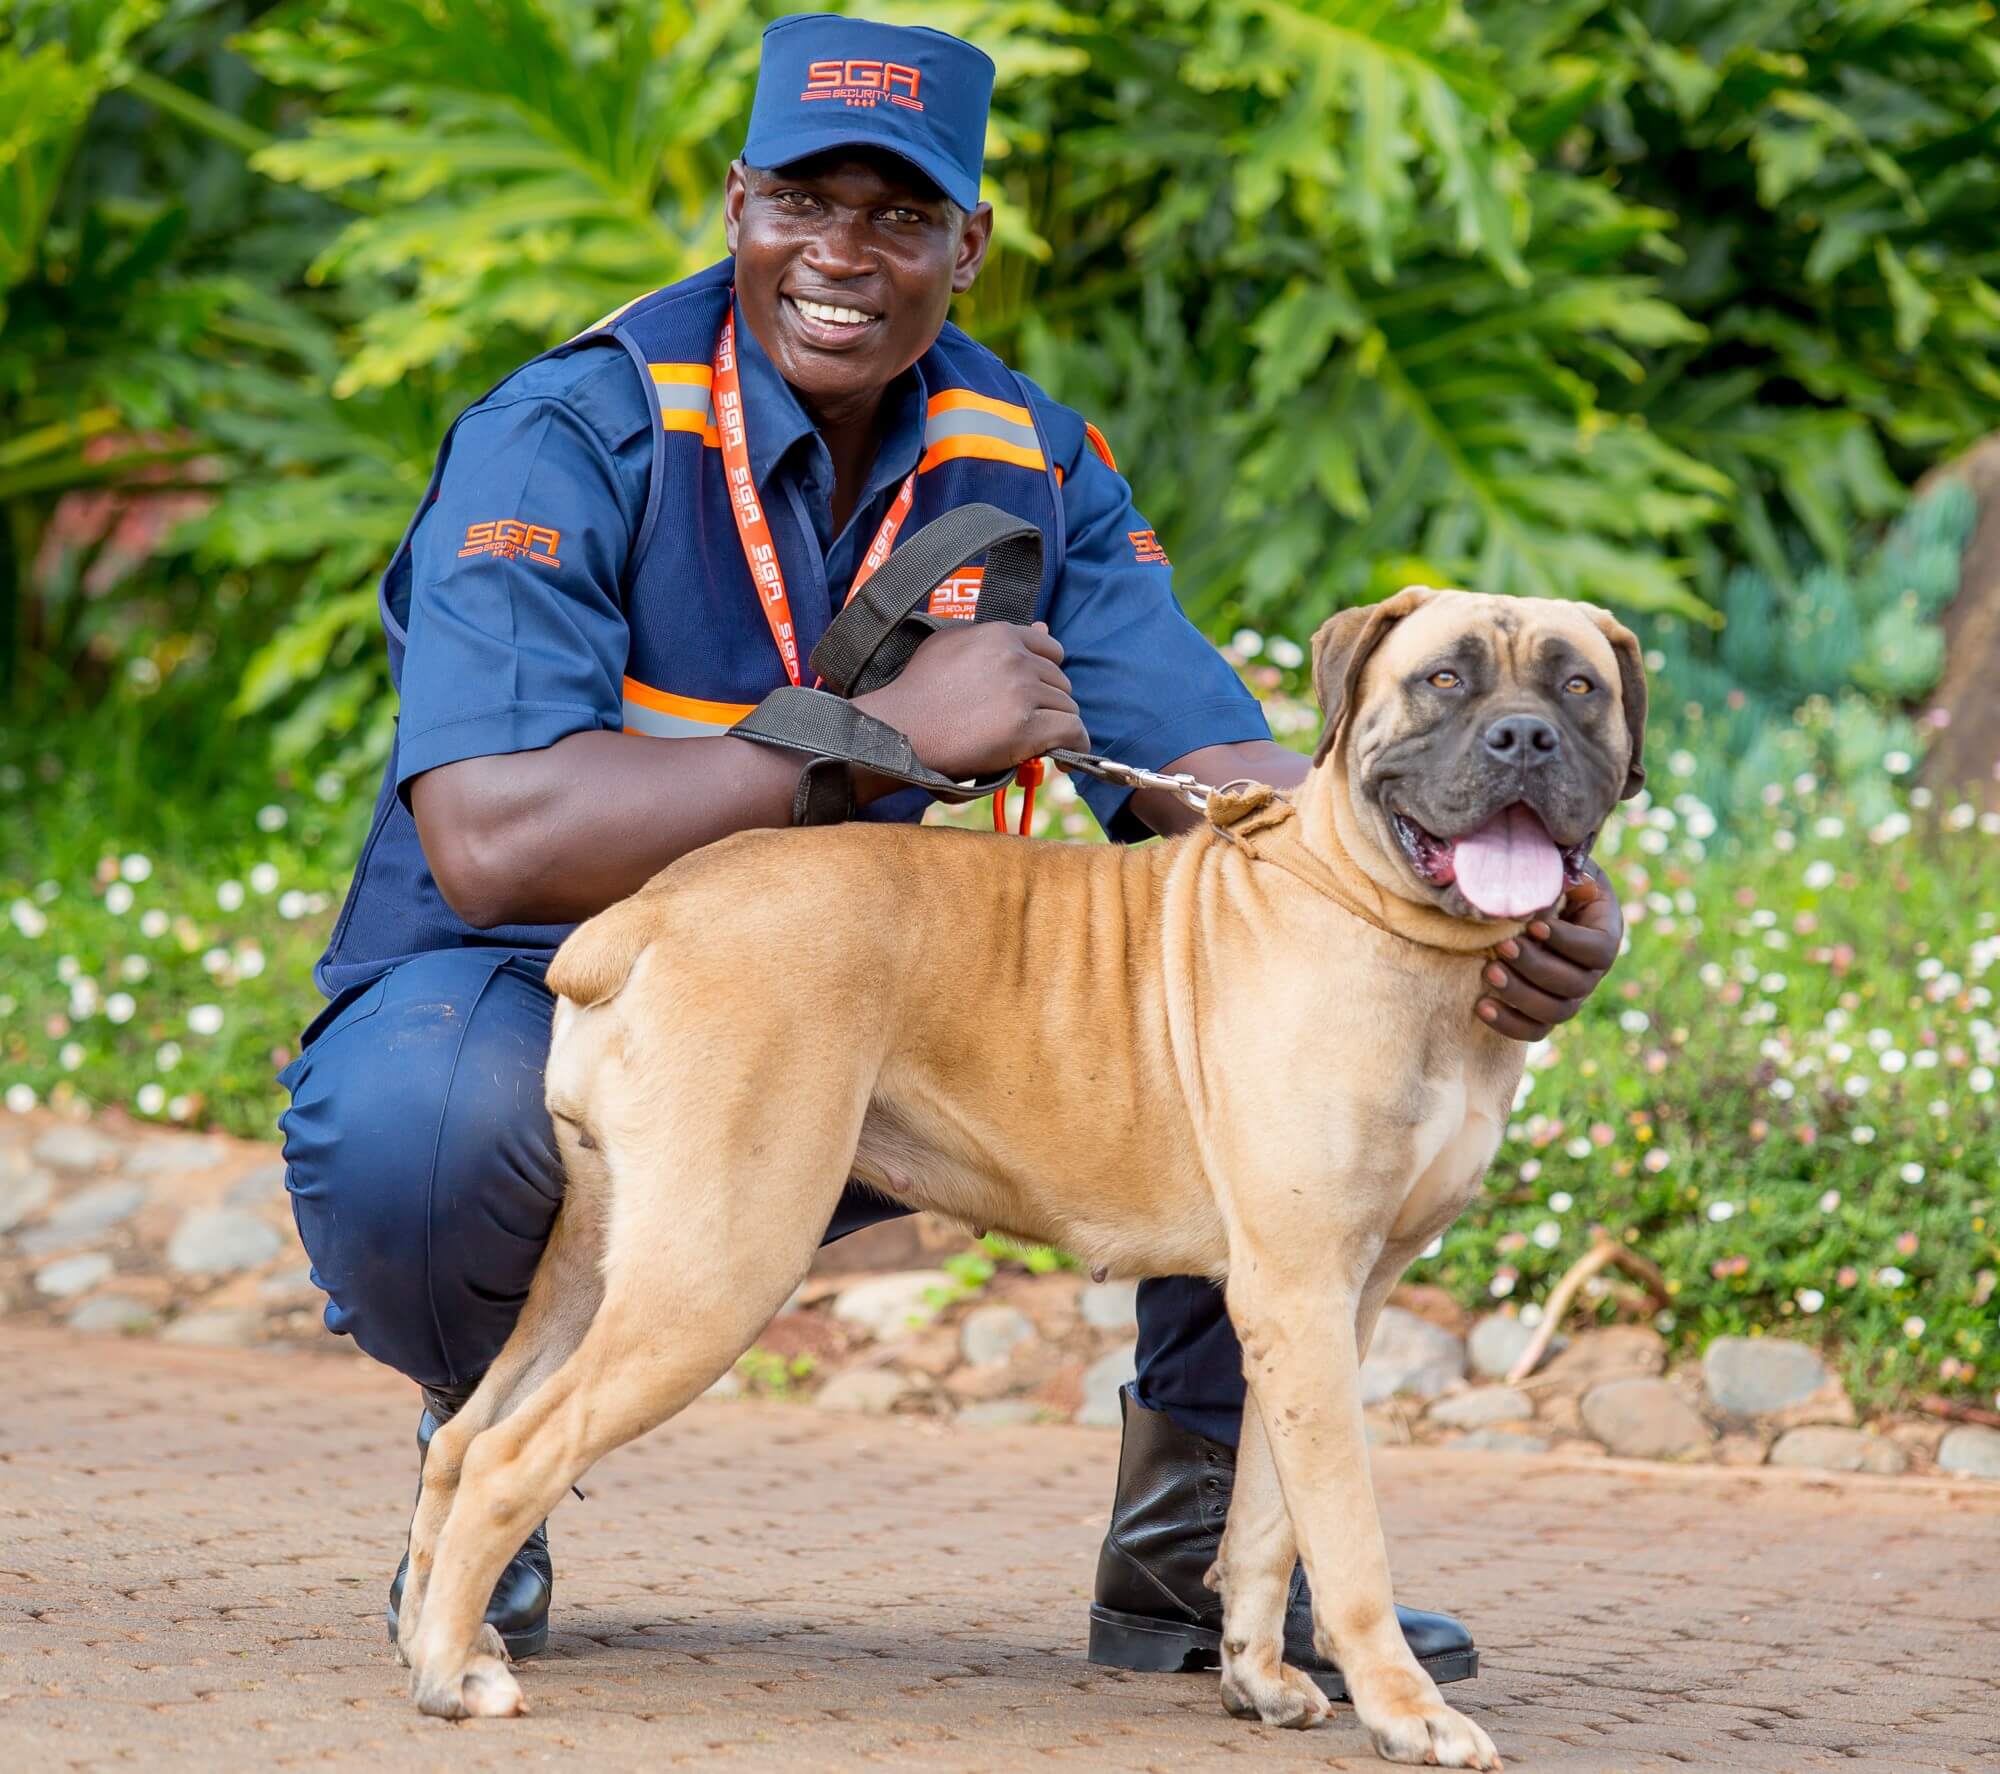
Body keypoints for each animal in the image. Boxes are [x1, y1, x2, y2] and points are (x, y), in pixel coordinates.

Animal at [390, 588, 1640, 1768]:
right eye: (1443, 680)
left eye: (1578, 687)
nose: (1524, 736)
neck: (1382, 912)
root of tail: (643, 912)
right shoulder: (1301, 1292)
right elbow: (1345, 1533)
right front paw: (1404, 1711)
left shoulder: (1331, 1303)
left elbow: (1266, 1516)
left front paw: (1257, 1675)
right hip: (713, 1266)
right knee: (510, 1451)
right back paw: (454, 1671)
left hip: (606, 1261)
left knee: (465, 1433)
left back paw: (441, 1630)